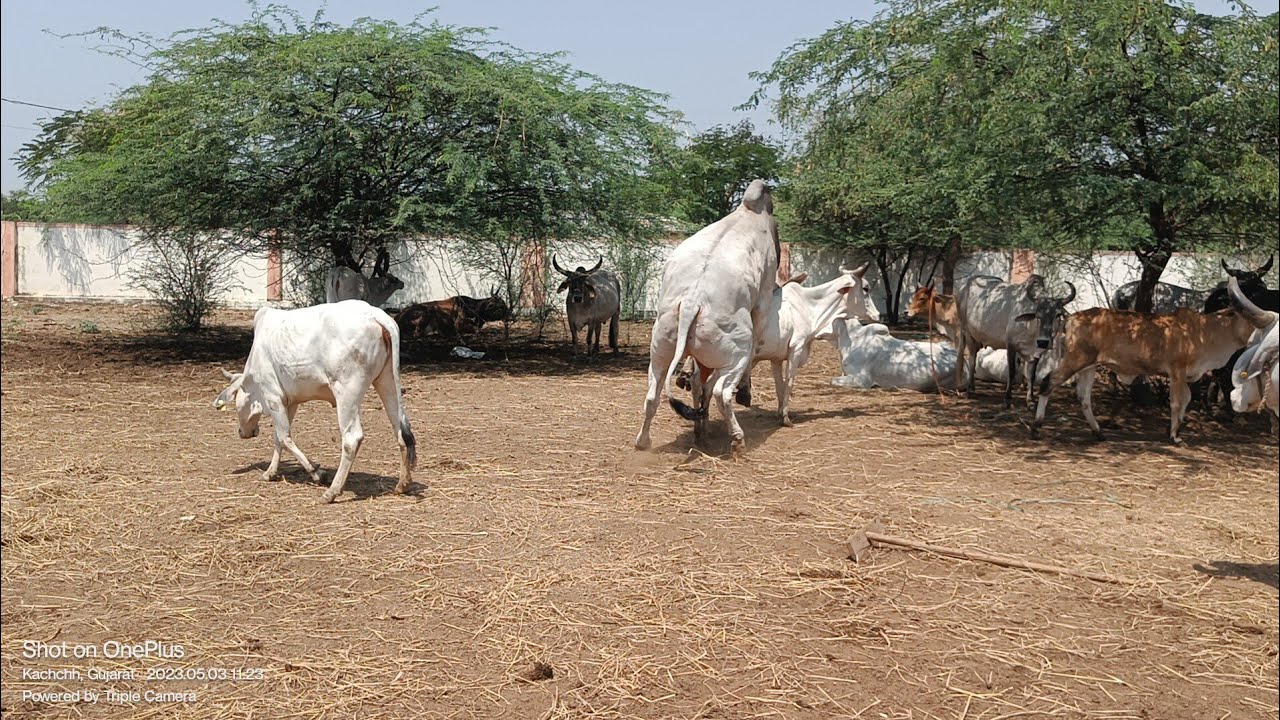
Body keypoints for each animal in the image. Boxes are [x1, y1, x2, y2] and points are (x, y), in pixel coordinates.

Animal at [213, 300, 417, 503]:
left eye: (236, 403)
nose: (242, 432)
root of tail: (375, 314)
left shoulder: (274, 398)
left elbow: (284, 438)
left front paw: (318, 473)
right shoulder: (290, 402)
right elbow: (278, 438)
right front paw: (270, 472)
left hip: (346, 392)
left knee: (352, 438)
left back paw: (332, 491)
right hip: (386, 380)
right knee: (401, 430)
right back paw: (403, 484)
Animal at [634, 179, 781, 453]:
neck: (749, 213)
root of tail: (691, 303)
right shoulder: (763, 302)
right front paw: (745, 393)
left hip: (659, 352)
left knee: (653, 396)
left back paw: (643, 441)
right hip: (736, 352)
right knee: (721, 393)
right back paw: (737, 439)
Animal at [1029, 306, 1258, 444]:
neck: (1206, 331)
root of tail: (1072, 317)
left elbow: (1186, 400)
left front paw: (1175, 430)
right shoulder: (1177, 370)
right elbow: (1177, 401)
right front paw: (1174, 436)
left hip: (1089, 366)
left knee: (1084, 397)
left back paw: (1098, 432)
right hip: (1075, 361)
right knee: (1048, 383)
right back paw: (1036, 427)